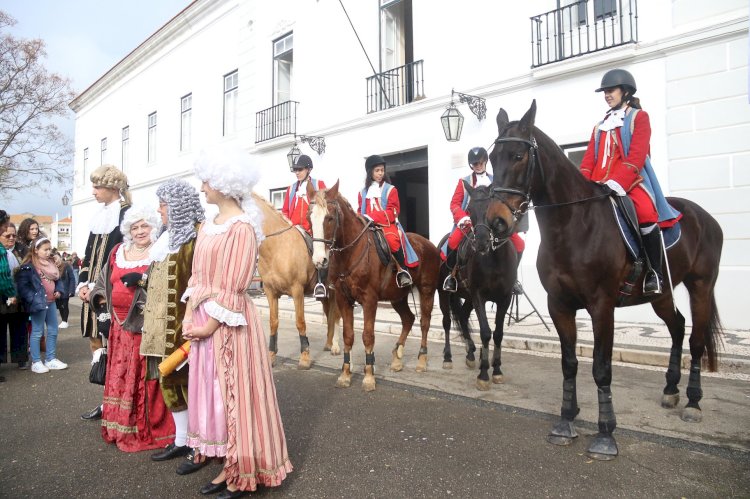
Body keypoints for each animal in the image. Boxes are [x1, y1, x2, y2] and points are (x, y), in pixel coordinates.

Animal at [256, 193, 344, 370]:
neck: (278, 248)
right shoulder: (270, 292)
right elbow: (273, 322)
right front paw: (271, 355)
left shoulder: (297, 291)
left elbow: (300, 322)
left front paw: (304, 357)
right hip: (324, 294)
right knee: (330, 314)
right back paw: (328, 343)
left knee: (336, 315)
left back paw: (335, 346)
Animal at [308, 182, 444, 392]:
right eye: (310, 217)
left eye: (329, 218)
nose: (319, 260)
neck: (350, 254)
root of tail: (429, 244)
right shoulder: (343, 299)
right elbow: (348, 336)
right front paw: (345, 374)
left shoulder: (369, 300)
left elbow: (368, 336)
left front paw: (369, 376)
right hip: (398, 297)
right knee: (408, 319)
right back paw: (397, 358)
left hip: (427, 291)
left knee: (424, 323)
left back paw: (421, 361)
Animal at [438, 182, 520, 392]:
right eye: (469, 211)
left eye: (492, 208)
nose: (481, 242)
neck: (494, 260)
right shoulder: (479, 296)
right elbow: (485, 332)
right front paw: (484, 374)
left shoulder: (504, 298)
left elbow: (498, 333)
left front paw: (496, 370)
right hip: (444, 294)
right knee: (447, 322)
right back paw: (448, 358)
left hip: (467, 297)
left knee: (463, 316)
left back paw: (470, 353)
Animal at [484, 100, 724, 460]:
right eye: (491, 158)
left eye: (518, 156)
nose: (496, 221)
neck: (572, 225)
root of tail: (704, 216)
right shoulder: (559, 306)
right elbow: (569, 363)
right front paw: (566, 420)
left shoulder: (602, 306)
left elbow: (601, 368)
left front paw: (605, 434)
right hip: (661, 294)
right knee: (678, 327)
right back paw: (670, 389)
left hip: (700, 287)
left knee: (695, 340)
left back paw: (693, 403)